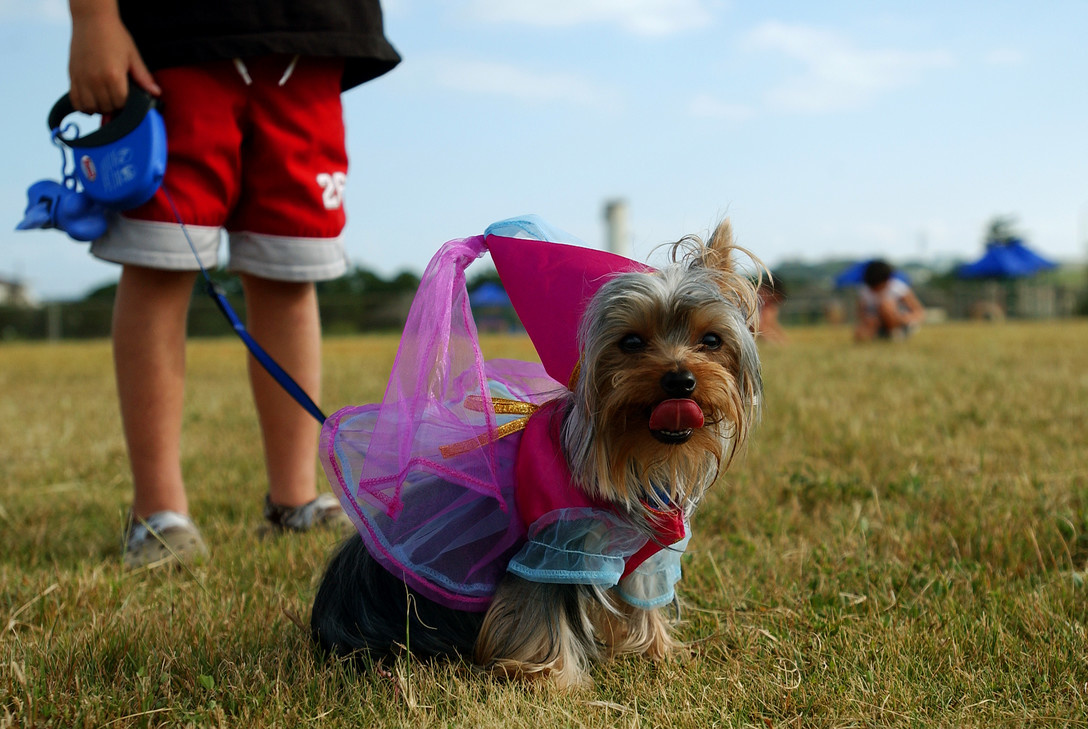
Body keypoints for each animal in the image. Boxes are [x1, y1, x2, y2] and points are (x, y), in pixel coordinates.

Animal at [311, 217, 761, 692]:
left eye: (711, 340)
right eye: (631, 342)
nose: (680, 381)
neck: (634, 454)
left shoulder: (645, 556)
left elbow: (643, 605)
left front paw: (660, 653)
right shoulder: (550, 548)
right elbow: (538, 615)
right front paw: (552, 680)